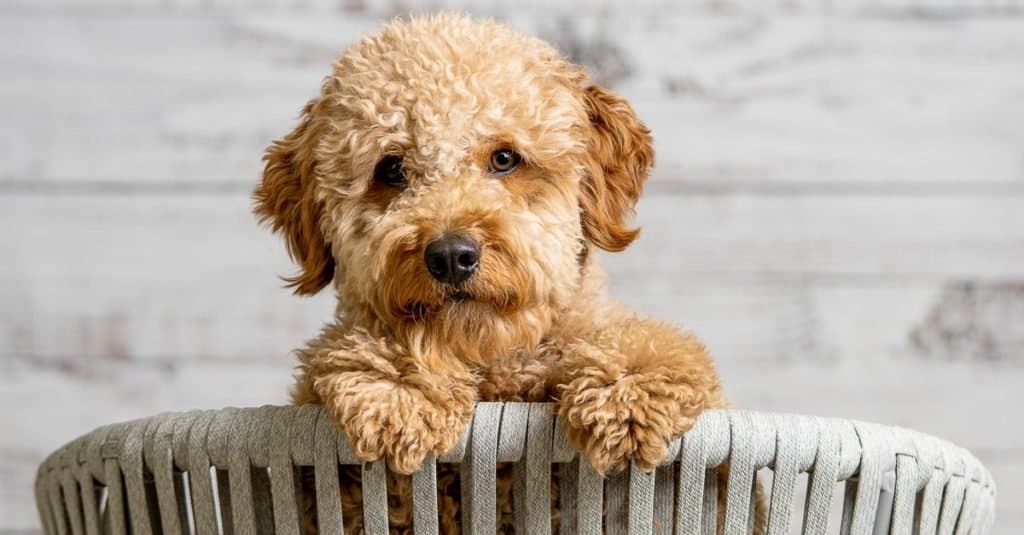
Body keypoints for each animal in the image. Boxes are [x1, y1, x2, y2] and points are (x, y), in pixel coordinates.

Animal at [251, 10, 749, 528]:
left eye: (505, 158)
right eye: (390, 169)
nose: (451, 255)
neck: (497, 364)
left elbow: (661, 348)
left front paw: (626, 392)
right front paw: (397, 388)